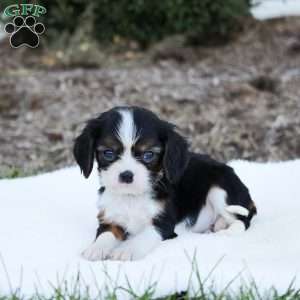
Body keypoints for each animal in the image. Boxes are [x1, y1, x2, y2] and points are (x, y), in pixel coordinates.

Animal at [74, 106, 256, 262]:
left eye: (148, 155)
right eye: (108, 153)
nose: (126, 175)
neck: (132, 197)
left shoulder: (163, 224)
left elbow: (145, 235)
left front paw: (127, 250)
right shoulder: (110, 218)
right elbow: (106, 233)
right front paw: (96, 249)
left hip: (219, 190)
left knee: (242, 221)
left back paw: (223, 232)